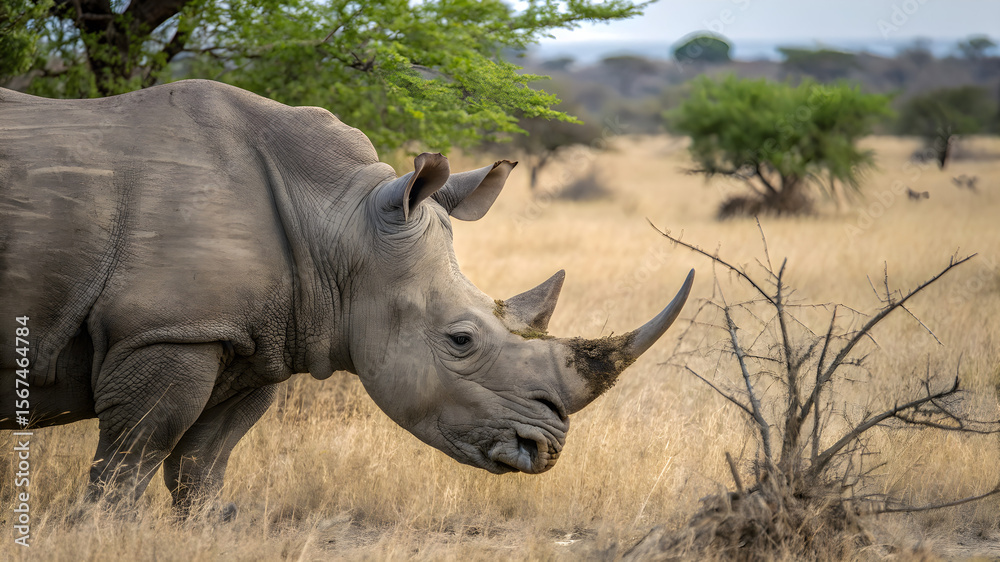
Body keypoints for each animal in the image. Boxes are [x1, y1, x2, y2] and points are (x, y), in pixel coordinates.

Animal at [0, 80, 693, 512]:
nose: (544, 449)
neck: (339, 222)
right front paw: (105, 533)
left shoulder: (252, 339)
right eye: (461, 339)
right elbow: (128, 465)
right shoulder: (167, 330)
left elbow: (201, 467)